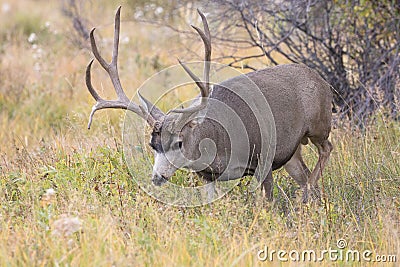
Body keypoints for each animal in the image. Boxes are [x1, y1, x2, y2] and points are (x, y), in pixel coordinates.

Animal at [86, 5, 332, 203]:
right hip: (293, 151)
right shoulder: (207, 177)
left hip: (319, 125)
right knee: (303, 171)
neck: (219, 140)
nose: (157, 177)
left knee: (326, 149)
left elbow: (265, 203)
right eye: (152, 145)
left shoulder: (264, 157)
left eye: (179, 142)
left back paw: (306, 196)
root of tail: (321, 80)